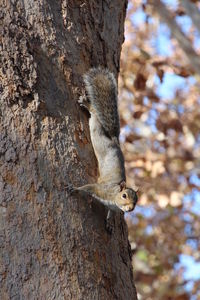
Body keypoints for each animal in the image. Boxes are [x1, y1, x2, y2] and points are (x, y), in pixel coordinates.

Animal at [69, 68, 138, 213]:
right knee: (95, 114)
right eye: (124, 195)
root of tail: (115, 141)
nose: (130, 209)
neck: (114, 197)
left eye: (137, 201)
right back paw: (87, 105)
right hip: (97, 134)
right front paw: (74, 188)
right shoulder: (101, 189)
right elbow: (88, 187)